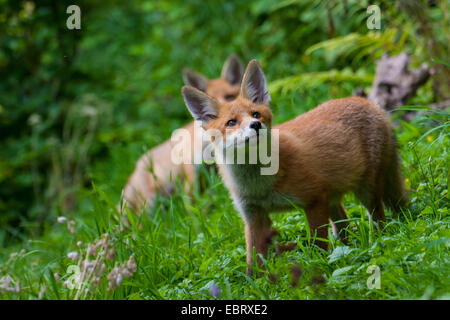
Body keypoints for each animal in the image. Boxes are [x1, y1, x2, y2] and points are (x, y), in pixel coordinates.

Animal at [182, 60, 408, 272]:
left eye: (256, 114)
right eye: (231, 122)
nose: (256, 125)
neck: (260, 185)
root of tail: (368, 102)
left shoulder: (314, 199)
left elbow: (318, 244)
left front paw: (319, 268)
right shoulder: (253, 216)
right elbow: (253, 262)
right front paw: (257, 282)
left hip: (366, 191)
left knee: (378, 218)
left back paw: (377, 241)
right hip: (334, 199)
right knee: (345, 225)